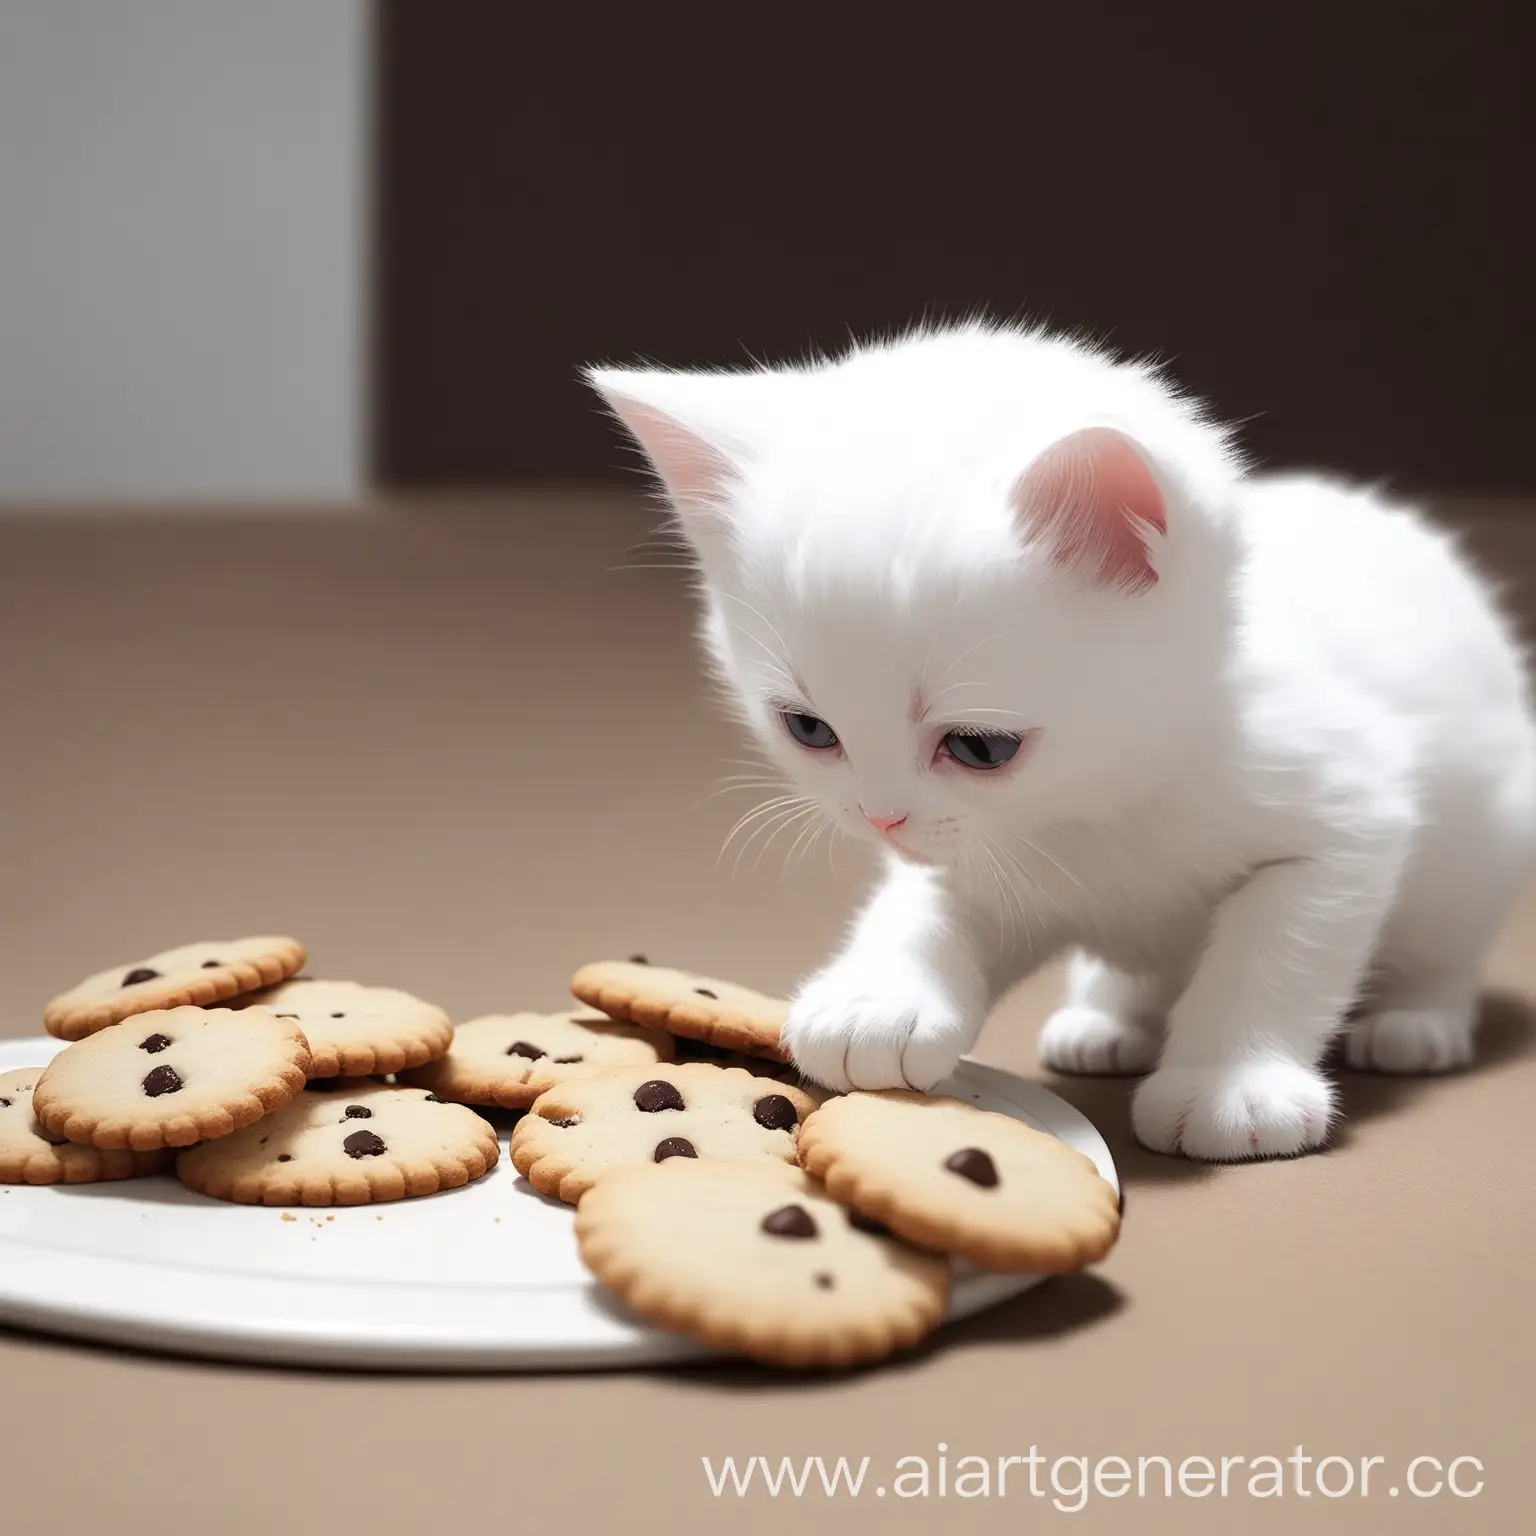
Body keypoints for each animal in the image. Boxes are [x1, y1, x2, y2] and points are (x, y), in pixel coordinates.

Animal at [583, 327, 1536, 1161]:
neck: (1100, 799)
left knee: (1443, 941)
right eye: (810, 730)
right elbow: (928, 906)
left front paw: (1231, 1084)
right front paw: (878, 998)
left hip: (1479, 849)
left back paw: (1416, 1021)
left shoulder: (1346, 814)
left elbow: (1273, 952)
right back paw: (1108, 1019)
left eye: (980, 749)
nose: (880, 818)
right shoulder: (971, 856)